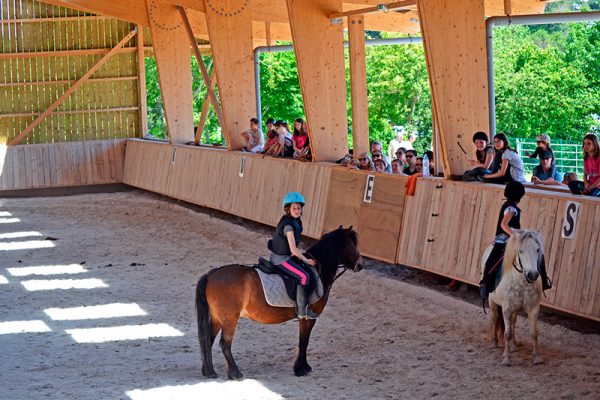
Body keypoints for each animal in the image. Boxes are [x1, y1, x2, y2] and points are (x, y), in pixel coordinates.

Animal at [196, 227, 360, 380]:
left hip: (217, 319)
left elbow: (302, 341)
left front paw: (301, 367)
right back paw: (235, 373)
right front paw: (301, 369)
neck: (317, 270)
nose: (360, 264)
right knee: (224, 343)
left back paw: (209, 371)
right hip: (229, 319)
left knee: (208, 340)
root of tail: (211, 275)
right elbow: (304, 341)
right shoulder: (308, 317)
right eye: (352, 244)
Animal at [480, 228, 548, 366]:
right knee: (495, 317)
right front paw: (506, 359)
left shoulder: (534, 308)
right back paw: (494, 343)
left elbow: (534, 333)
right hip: (491, 300)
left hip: (515, 309)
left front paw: (537, 357)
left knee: (513, 322)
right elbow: (507, 334)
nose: (532, 275)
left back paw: (514, 346)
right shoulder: (506, 308)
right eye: (520, 251)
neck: (522, 281)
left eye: (538, 249)